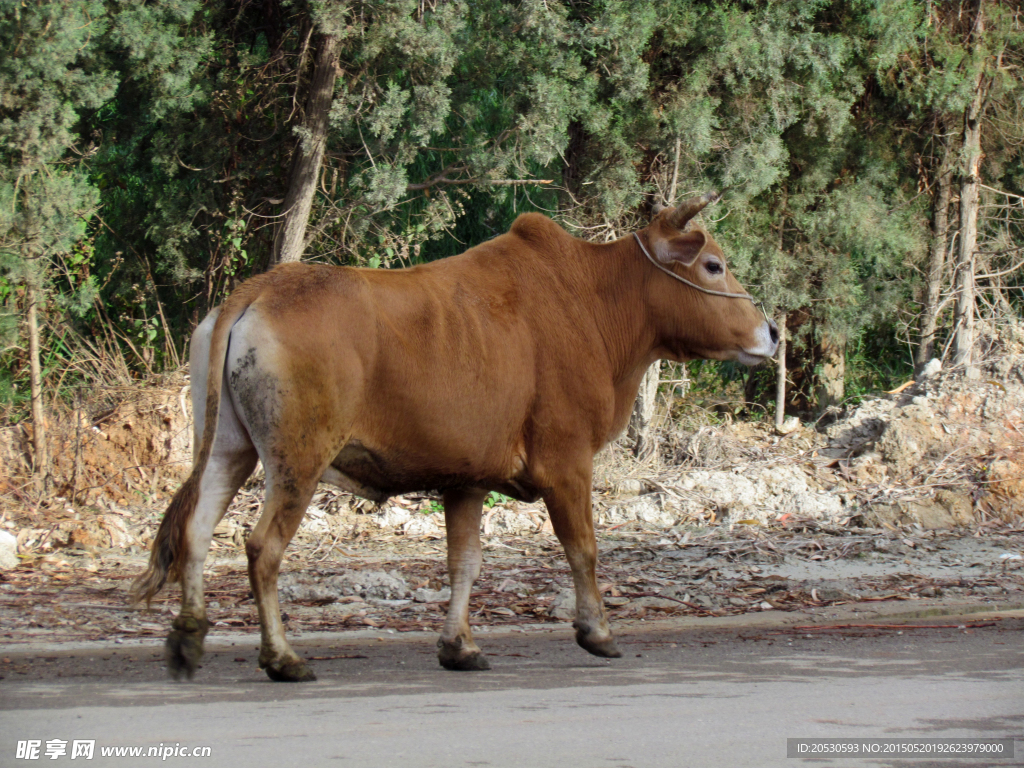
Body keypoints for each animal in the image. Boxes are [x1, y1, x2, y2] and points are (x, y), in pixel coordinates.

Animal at [132, 191, 778, 679]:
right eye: (713, 264)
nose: (771, 332)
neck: (592, 300)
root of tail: (257, 290)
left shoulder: (467, 481)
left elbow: (463, 563)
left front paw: (459, 645)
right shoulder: (566, 463)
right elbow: (583, 549)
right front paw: (596, 630)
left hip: (229, 449)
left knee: (194, 531)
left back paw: (188, 636)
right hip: (299, 462)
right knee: (262, 547)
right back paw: (282, 657)